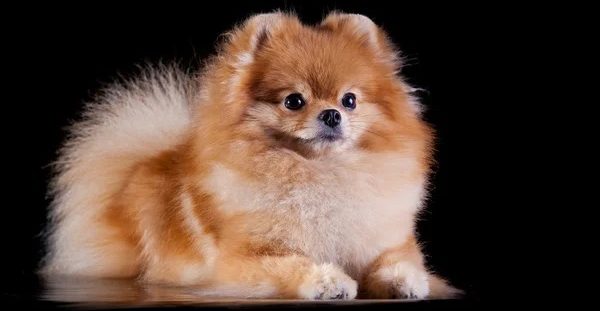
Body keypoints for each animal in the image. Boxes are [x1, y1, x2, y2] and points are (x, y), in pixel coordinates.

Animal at [43, 11, 460, 300]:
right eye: (294, 101)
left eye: (350, 100)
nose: (331, 114)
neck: (319, 170)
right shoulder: (239, 261)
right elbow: (290, 264)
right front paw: (327, 281)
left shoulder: (388, 240)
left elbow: (398, 261)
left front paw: (406, 281)